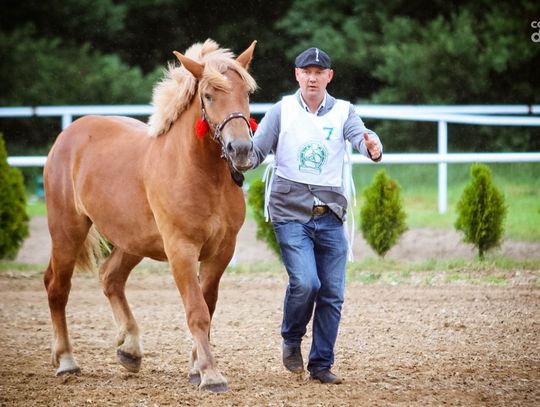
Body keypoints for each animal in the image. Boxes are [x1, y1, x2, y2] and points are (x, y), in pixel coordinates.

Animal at [43, 39, 258, 393]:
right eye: (209, 95)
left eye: (247, 93)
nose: (240, 150)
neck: (201, 173)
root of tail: (69, 133)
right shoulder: (181, 250)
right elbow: (197, 310)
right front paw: (211, 375)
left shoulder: (222, 251)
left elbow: (208, 307)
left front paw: (196, 368)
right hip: (67, 230)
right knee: (57, 287)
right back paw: (66, 361)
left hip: (132, 241)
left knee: (110, 277)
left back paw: (130, 350)